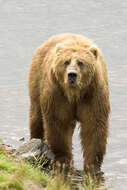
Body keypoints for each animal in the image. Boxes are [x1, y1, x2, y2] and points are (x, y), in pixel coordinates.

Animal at [28, 33, 109, 174]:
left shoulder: (93, 95)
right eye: (66, 61)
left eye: (81, 62)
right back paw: (36, 140)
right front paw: (63, 161)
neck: (74, 93)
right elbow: (58, 123)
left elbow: (94, 126)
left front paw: (92, 166)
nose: (72, 75)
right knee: (37, 116)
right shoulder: (58, 94)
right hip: (37, 78)